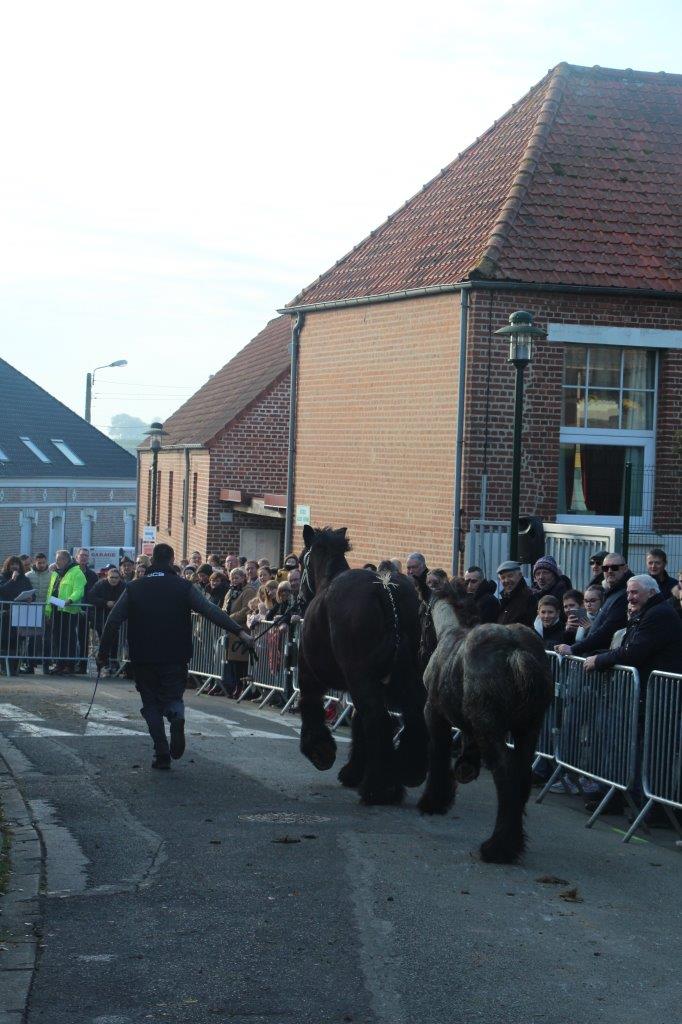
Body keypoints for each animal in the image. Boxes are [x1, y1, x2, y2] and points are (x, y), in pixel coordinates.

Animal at [296, 524, 425, 802]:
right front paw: (354, 769)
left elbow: (310, 704)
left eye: (301, 560)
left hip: (361, 678)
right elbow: (357, 720)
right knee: (411, 712)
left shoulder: (310, 674)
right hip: (406, 675)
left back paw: (378, 788)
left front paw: (320, 750)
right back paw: (407, 772)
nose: (299, 599)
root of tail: (384, 588)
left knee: (377, 718)